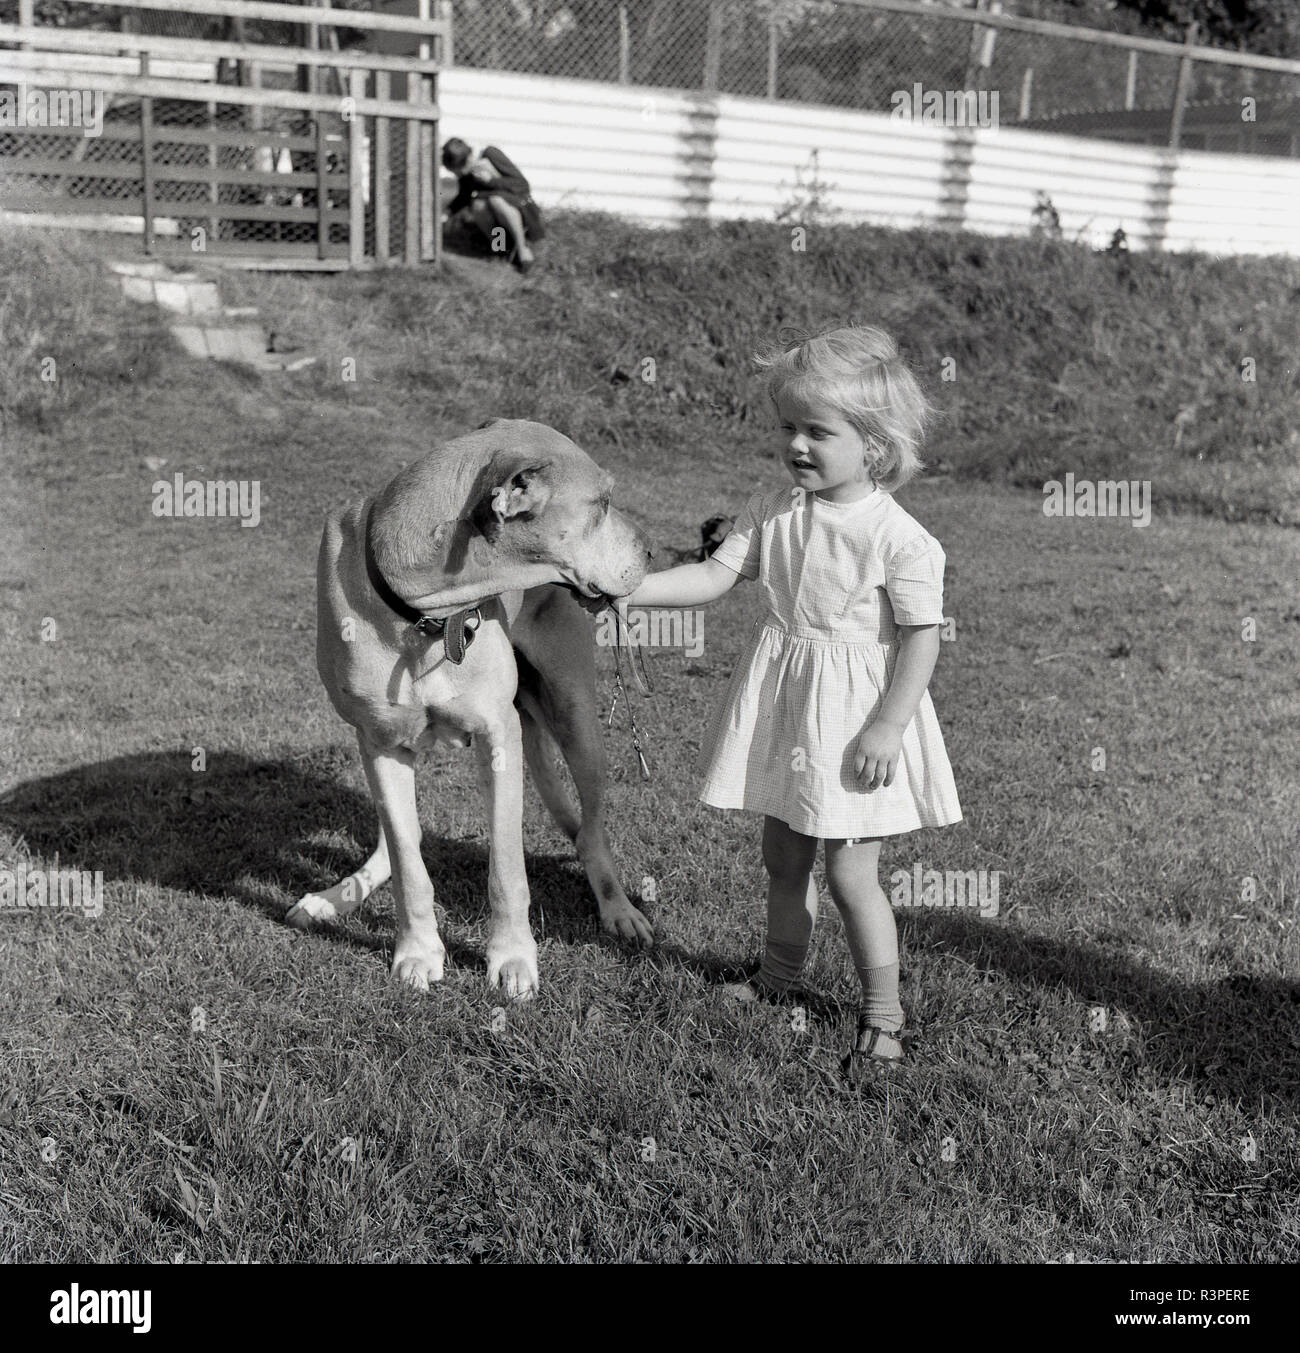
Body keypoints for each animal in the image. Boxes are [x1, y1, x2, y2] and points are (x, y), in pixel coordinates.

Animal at [294, 416, 660, 1001]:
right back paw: (337, 896)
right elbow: (408, 859)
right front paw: (417, 951)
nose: (652, 554)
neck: (423, 611)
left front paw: (511, 958)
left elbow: (506, 867)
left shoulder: (499, 736)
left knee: (592, 832)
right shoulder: (378, 741)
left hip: (577, 720)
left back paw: (619, 909)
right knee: (398, 840)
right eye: (602, 503)